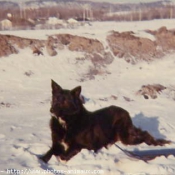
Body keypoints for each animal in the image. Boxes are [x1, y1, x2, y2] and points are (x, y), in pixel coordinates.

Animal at [40, 80, 170, 163]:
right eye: (55, 99)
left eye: (64, 101)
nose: (51, 110)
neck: (67, 122)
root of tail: (124, 111)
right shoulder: (56, 144)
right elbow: (49, 153)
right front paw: (41, 160)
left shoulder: (84, 146)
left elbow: (68, 153)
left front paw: (61, 158)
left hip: (126, 137)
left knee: (145, 134)